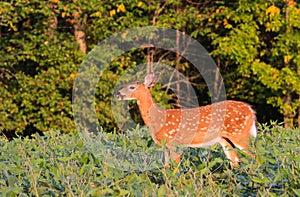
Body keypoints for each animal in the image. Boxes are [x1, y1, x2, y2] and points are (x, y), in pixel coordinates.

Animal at [116, 73, 256, 167]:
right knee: (235, 161)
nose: (117, 93)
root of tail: (251, 110)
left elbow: (176, 167)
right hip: (225, 139)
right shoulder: (165, 145)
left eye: (132, 87)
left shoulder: (174, 142)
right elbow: (166, 167)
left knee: (255, 155)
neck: (158, 118)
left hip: (239, 133)